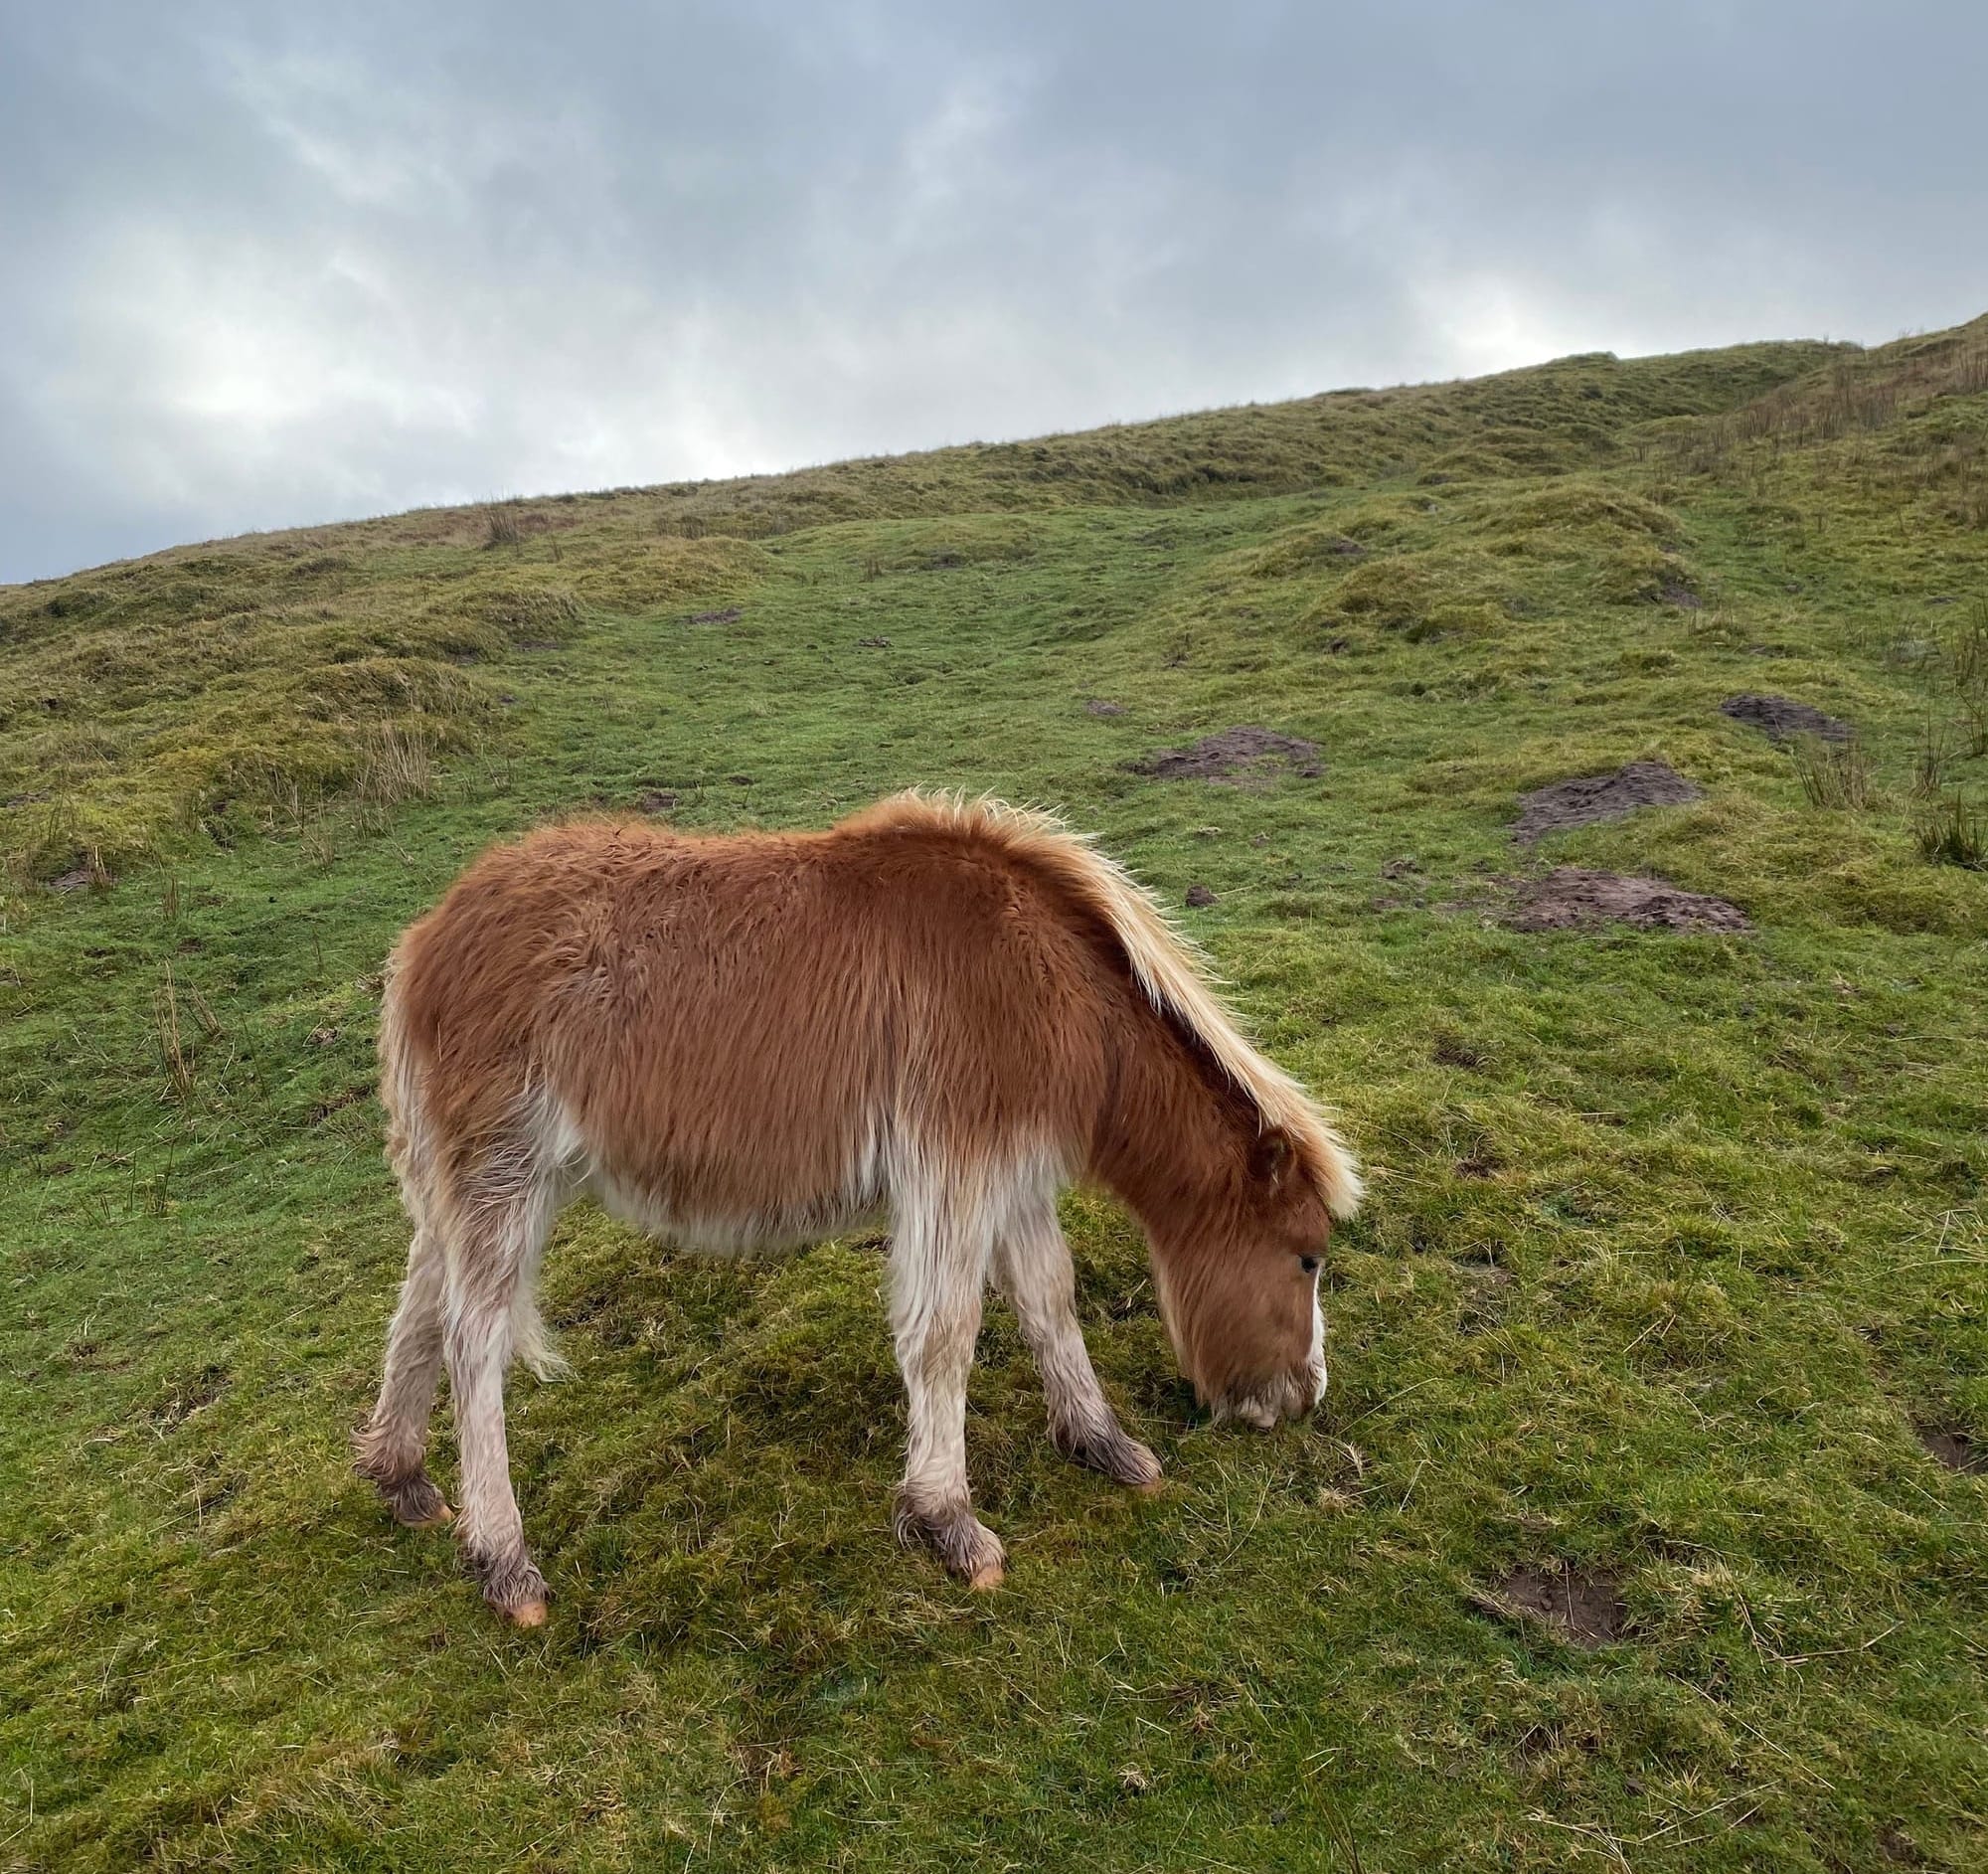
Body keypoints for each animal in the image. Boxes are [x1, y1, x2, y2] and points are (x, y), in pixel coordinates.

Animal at [355, 792, 1361, 1623]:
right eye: (1307, 1256)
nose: (1305, 1397)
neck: (1045, 980)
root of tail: (423, 942)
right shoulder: (955, 1164)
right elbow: (945, 1333)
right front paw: (949, 1521)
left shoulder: (1011, 1174)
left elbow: (1048, 1300)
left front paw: (1103, 1443)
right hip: (506, 1174)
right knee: (473, 1341)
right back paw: (503, 1560)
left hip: (467, 1182)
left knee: (420, 1307)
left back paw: (401, 1478)